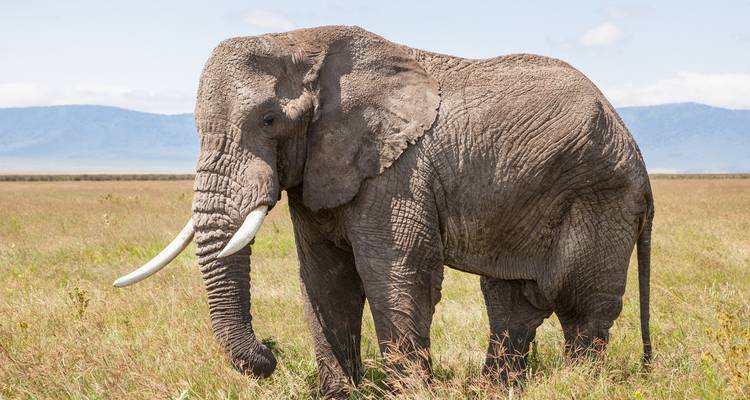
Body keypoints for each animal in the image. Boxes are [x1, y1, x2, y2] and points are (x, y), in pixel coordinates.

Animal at [114, 25, 653, 397]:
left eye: (268, 120)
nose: (269, 354)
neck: (301, 41)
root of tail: (636, 151)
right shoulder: (322, 168)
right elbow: (325, 276)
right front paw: (339, 394)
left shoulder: (397, 172)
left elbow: (394, 271)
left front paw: (409, 393)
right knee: (511, 301)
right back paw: (493, 390)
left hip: (600, 195)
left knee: (581, 306)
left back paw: (580, 385)